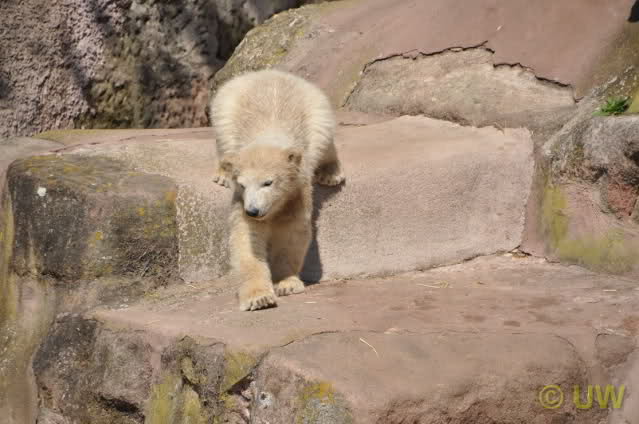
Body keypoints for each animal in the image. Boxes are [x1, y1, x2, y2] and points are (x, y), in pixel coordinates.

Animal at [209, 69, 344, 311]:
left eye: (268, 183)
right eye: (243, 184)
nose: (253, 211)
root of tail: (271, 72)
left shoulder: (297, 191)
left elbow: (292, 232)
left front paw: (287, 283)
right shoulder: (241, 201)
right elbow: (247, 239)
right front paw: (259, 298)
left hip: (317, 109)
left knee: (325, 141)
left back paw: (331, 173)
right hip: (226, 105)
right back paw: (222, 172)